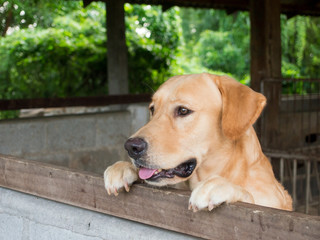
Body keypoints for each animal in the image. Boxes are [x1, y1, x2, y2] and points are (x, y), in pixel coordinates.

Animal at [103, 72, 292, 210]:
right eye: (152, 109)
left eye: (183, 110)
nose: (131, 147)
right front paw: (123, 168)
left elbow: (249, 196)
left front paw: (219, 185)